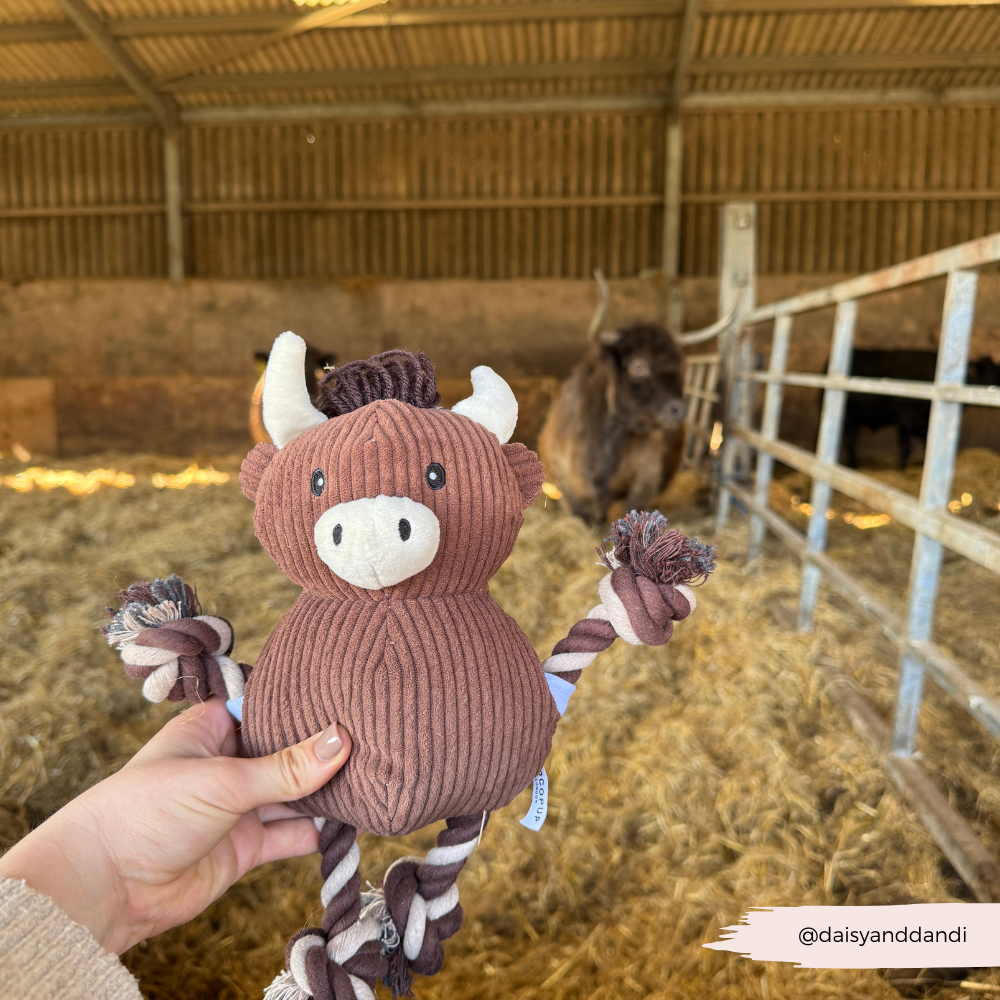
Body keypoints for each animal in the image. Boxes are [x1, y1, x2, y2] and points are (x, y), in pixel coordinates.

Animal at [841, 349, 1000, 469]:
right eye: (990, 376)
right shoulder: (905, 417)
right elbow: (906, 448)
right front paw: (902, 471)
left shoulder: (924, 424)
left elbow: (926, 445)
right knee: (848, 443)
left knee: (850, 443)